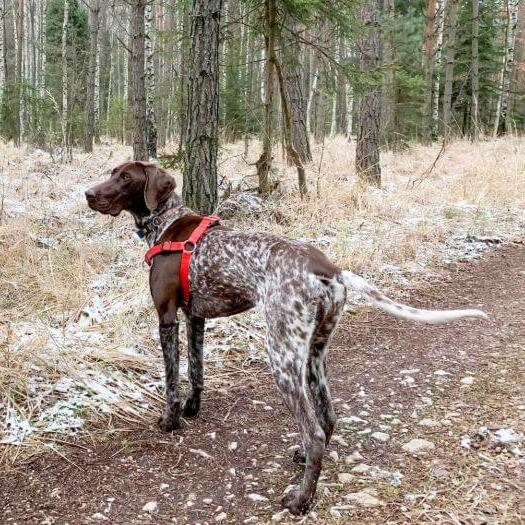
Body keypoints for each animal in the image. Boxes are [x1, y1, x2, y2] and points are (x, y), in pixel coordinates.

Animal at [84, 162, 486, 512]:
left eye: (125, 177)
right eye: (112, 172)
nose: (87, 194)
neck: (167, 222)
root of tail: (330, 270)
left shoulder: (167, 318)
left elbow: (171, 380)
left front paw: (170, 421)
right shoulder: (195, 317)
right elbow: (196, 372)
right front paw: (192, 409)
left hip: (281, 357)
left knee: (315, 431)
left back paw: (301, 499)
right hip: (313, 353)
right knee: (328, 416)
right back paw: (304, 459)